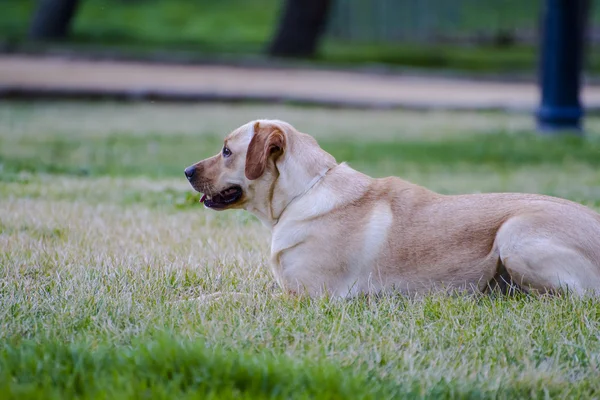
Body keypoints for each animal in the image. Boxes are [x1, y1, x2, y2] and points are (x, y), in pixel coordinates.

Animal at [183, 119, 600, 296]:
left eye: (226, 151)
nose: (186, 171)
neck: (304, 193)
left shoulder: (308, 296)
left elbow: (231, 298)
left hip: (513, 235)